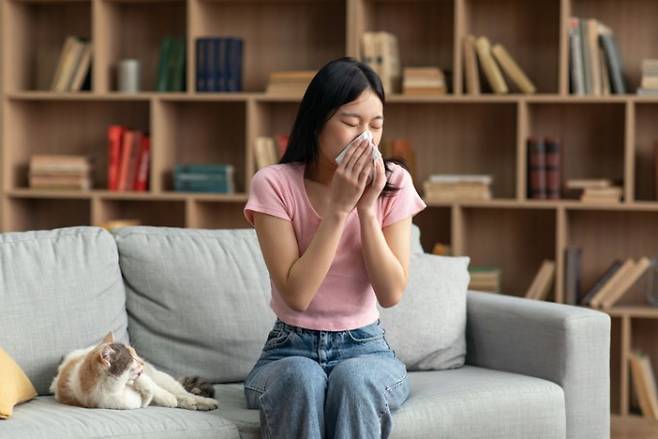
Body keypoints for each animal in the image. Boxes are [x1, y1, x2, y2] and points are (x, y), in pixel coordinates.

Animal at [50, 334, 218, 412]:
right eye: (132, 359)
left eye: (135, 352)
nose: (142, 362)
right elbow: (144, 397)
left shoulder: (144, 378)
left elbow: (152, 387)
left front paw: (167, 398)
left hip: (162, 378)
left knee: (182, 392)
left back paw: (203, 401)